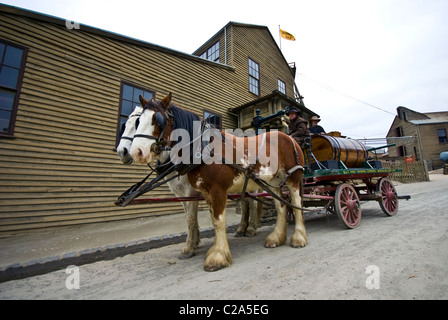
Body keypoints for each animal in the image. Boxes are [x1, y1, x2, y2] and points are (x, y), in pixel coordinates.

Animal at [128, 94, 306, 272]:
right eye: (139, 121)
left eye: (157, 119)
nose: (136, 152)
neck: (204, 148)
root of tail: (289, 137)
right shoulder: (206, 193)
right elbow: (213, 220)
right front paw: (213, 249)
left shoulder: (217, 190)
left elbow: (219, 221)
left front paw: (218, 256)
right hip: (272, 181)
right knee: (281, 205)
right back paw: (276, 238)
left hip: (293, 177)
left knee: (296, 202)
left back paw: (298, 237)